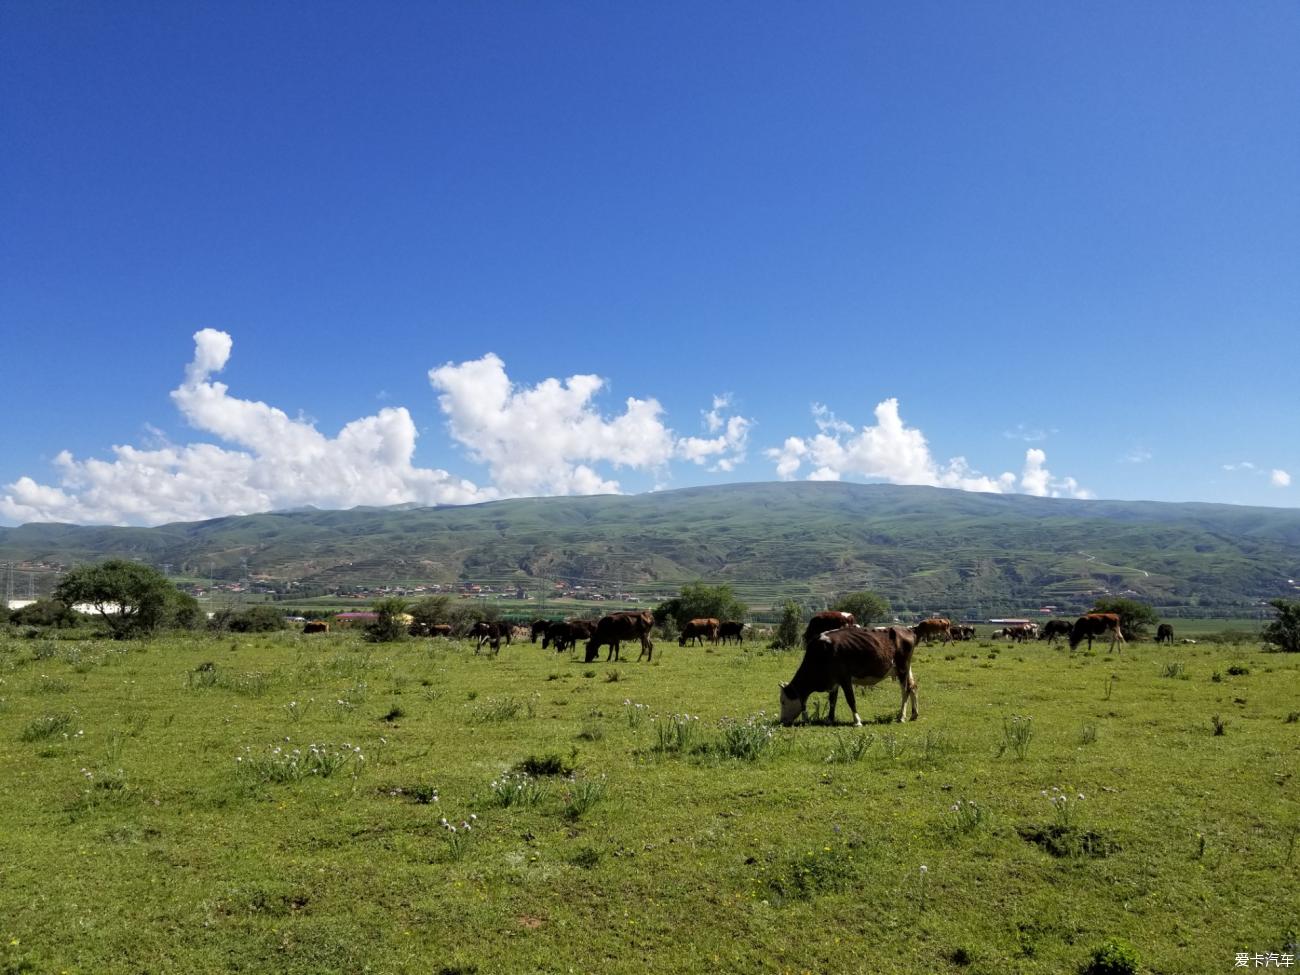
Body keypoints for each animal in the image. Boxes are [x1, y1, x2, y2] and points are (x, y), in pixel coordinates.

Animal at [774, 626, 920, 728]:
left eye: (783, 701)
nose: (782, 721)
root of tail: (908, 629)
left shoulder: (844, 678)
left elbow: (851, 699)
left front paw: (857, 721)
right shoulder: (834, 681)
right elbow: (832, 700)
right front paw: (829, 719)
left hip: (902, 669)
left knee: (905, 691)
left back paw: (901, 717)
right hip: (906, 669)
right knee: (913, 687)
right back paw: (914, 714)